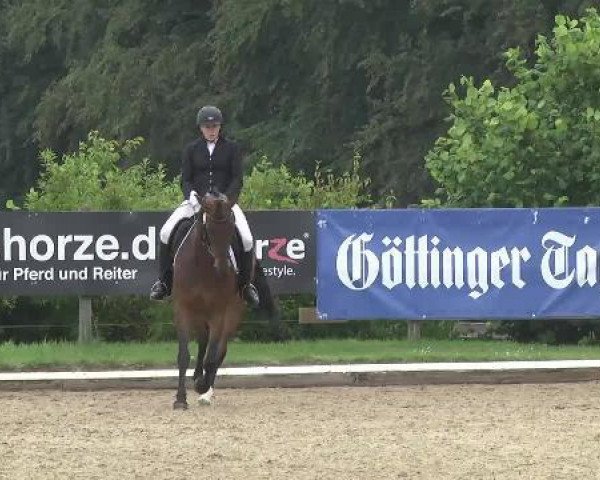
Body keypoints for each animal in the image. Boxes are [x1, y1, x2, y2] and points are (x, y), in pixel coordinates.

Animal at [171, 190, 276, 408]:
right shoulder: (182, 307)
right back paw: (198, 378)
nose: (222, 267)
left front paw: (202, 386)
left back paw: (205, 390)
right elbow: (184, 355)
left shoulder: (219, 311)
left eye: (231, 230)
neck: (203, 267)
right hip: (200, 313)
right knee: (203, 340)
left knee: (219, 350)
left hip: (232, 312)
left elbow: (212, 356)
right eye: (208, 230)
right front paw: (180, 400)